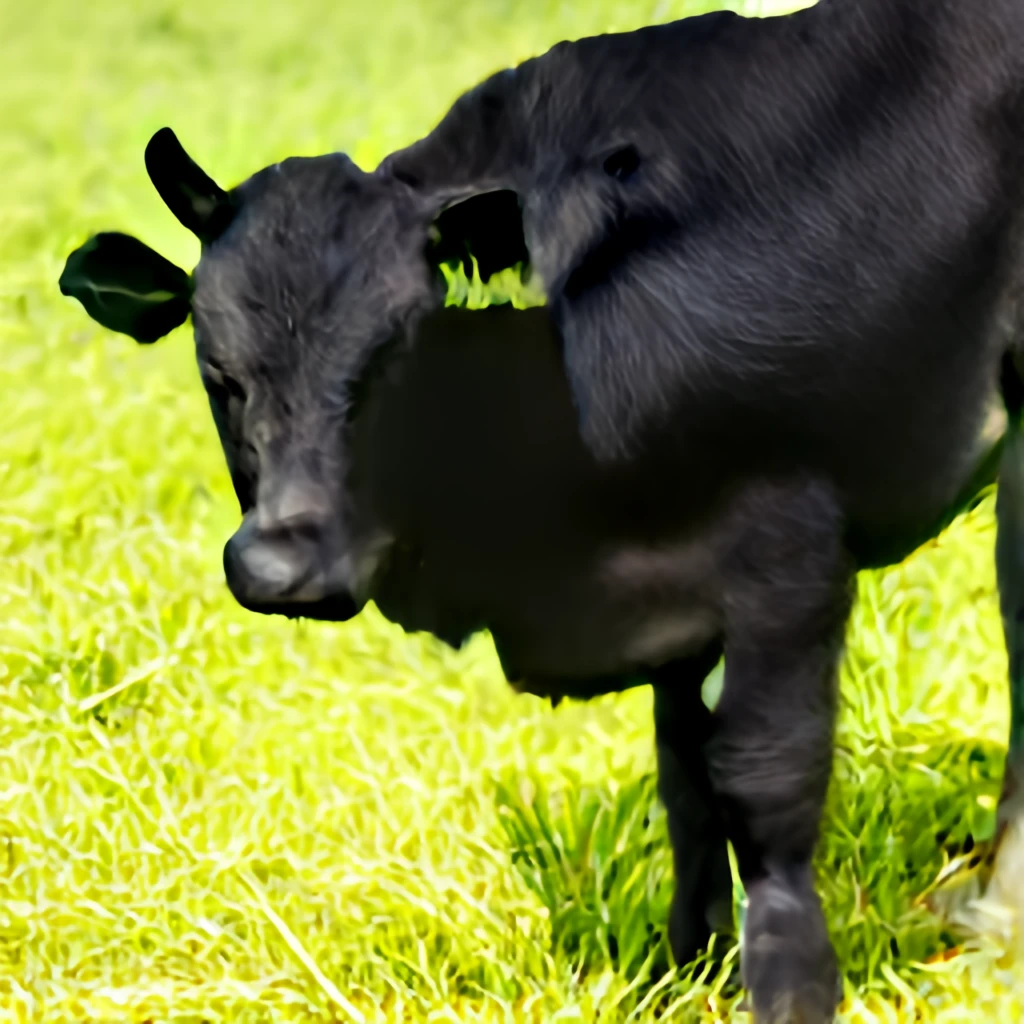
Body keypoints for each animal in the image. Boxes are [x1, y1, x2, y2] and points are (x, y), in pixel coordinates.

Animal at [56, 0, 1024, 1019]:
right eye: (219, 372)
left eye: (395, 354)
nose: (282, 566)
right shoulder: (676, 599)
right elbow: (685, 782)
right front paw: (690, 968)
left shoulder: (790, 556)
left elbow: (762, 783)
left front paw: (789, 989)